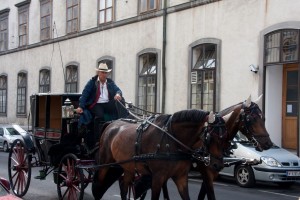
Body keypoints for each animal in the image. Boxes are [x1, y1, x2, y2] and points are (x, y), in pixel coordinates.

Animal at [92, 109, 233, 200]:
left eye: (226, 137)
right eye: (211, 137)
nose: (218, 165)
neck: (172, 140)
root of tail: (111, 124)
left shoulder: (181, 177)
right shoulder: (158, 177)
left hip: (128, 167)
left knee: (124, 187)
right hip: (104, 164)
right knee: (98, 187)